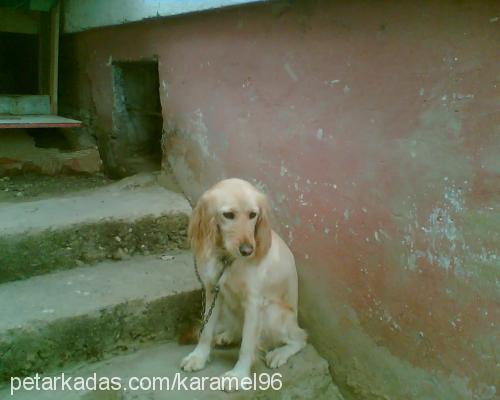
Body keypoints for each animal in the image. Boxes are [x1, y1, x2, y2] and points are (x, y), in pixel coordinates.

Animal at [180, 179, 304, 390]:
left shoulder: (254, 303)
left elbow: (247, 345)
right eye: (228, 215)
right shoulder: (213, 290)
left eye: (253, 215)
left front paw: (238, 376)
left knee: (300, 338)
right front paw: (199, 356)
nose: (248, 250)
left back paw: (279, 353)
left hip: (272, 312)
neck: (228, 259)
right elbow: (206, 330)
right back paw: (228, 335)